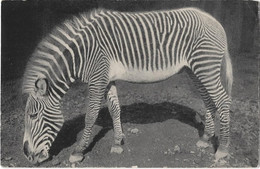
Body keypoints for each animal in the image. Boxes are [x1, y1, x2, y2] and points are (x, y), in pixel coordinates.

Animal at [22, 7, 234, 164]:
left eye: (33, 115)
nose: (27, 156)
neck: (81, 54)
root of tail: (215, 21)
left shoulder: (97, 79)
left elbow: (90, 116)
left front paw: (78, 151)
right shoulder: (107, 79)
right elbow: (115, 110)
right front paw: (117, 143)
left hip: (205, 67)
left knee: (223, 101)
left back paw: (223, 149)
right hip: (194, 70)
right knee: (209, 100)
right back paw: (206, 138)